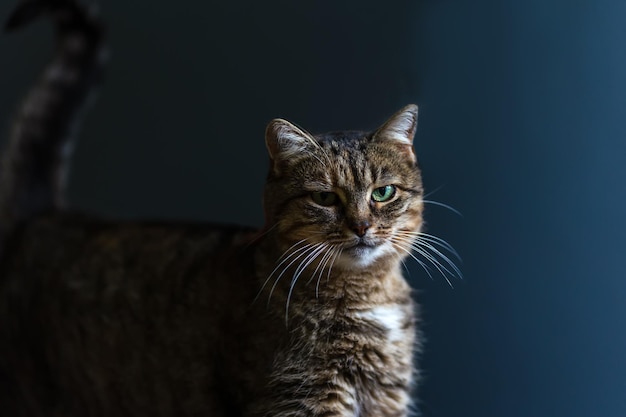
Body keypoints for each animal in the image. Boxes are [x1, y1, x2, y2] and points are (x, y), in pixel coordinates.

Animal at [0, 0, 448, 416]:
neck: (367, 298)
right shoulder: (302, 398)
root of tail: (42, 217)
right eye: (324, 198)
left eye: (382, 193)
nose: (361, 225)